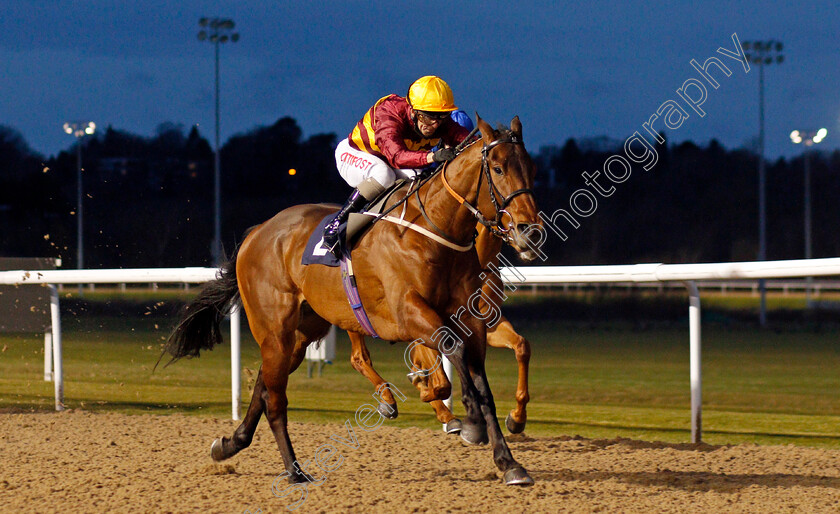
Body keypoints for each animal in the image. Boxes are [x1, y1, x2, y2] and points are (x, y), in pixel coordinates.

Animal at [166, 115, 540, 484]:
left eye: (531, 168)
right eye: (497, 168)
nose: (529, 231)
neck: (436, 229)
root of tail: (257, 232)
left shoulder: (473, 320)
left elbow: (483, 383)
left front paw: (509, 463)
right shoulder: (410, 313)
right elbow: (453, 353)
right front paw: (469, 422)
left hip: (302, 332)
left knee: (264, 384)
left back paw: (229, 444)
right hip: (273, 328)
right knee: (276, 400)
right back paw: (294, 470)